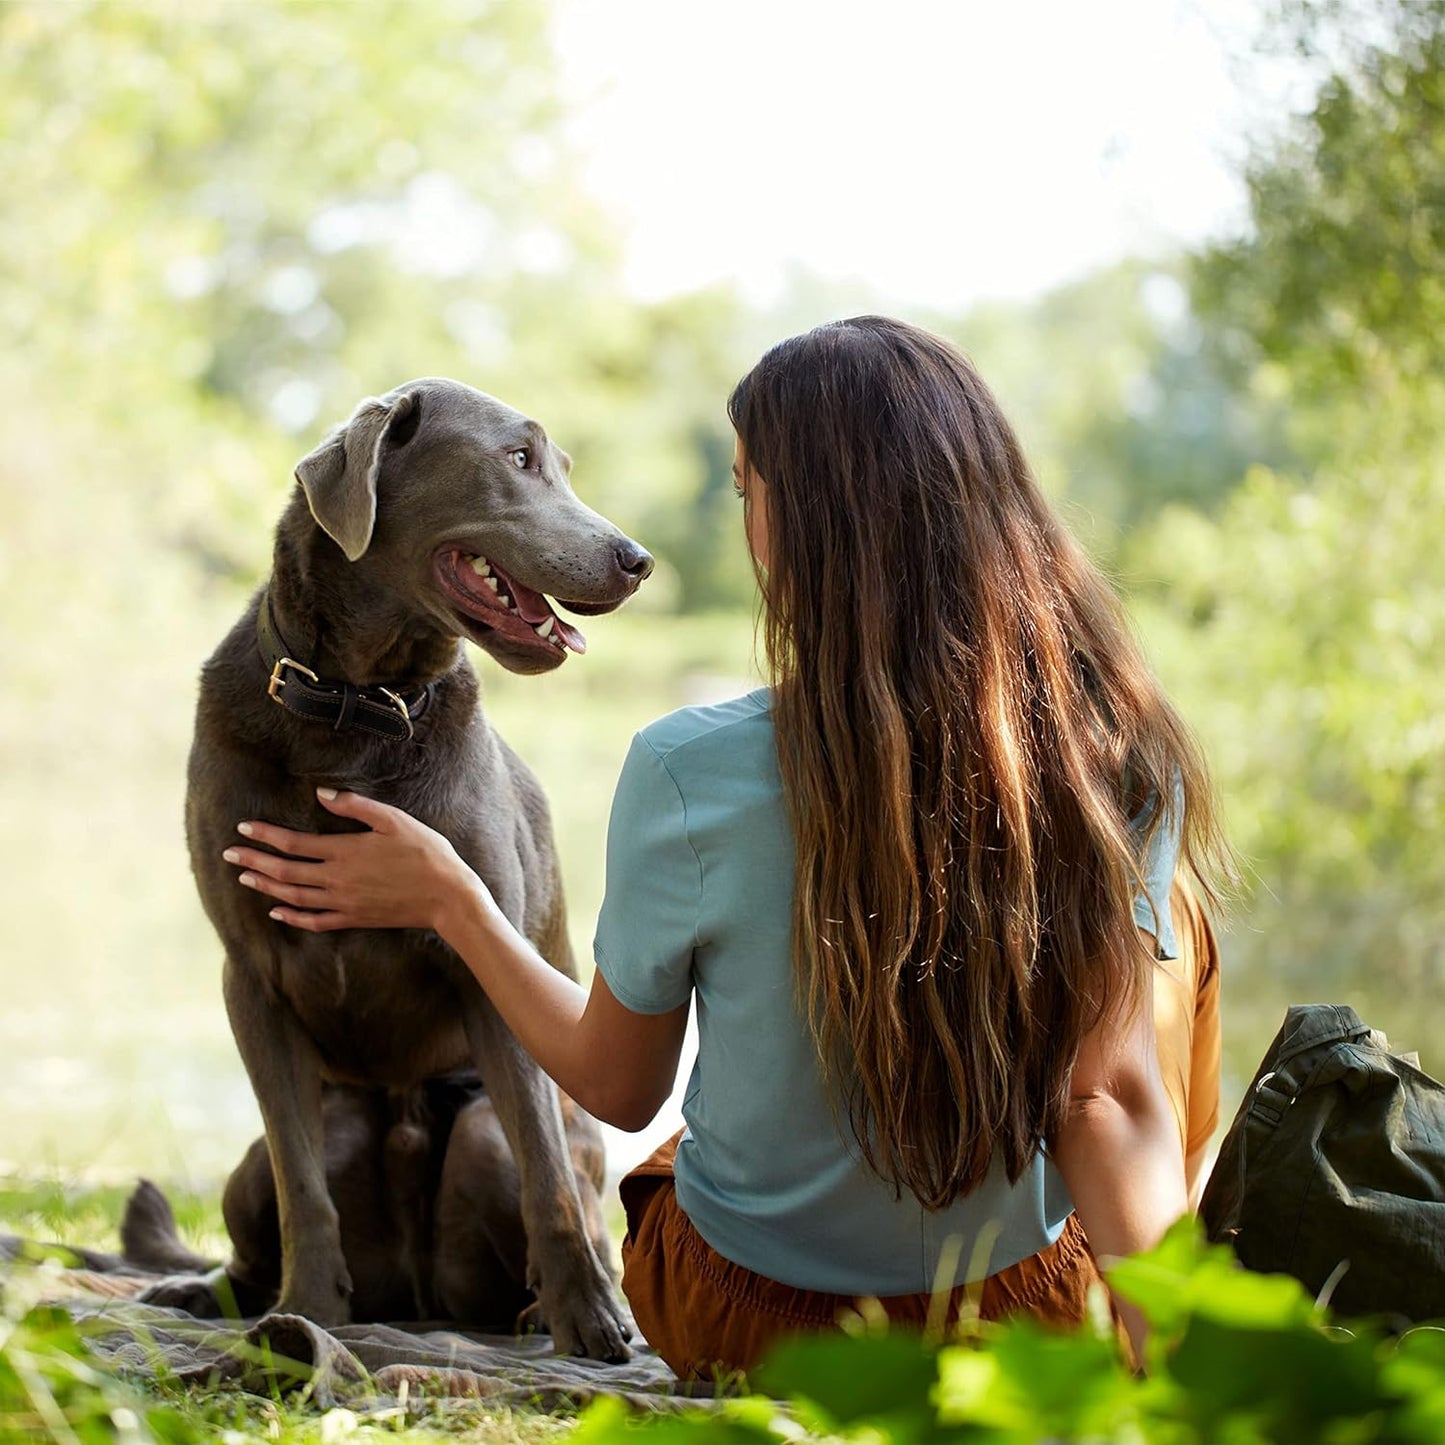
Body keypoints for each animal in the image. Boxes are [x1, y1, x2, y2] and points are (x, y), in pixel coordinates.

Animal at [179, 378, 650, 1358]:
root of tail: (422, 1301)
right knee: (272, 1192)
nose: (637, 560)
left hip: (477, 1129)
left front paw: (590, 1322)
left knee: (546, 1175)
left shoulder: (488, 961)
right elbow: (303, 1186)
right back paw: (212, 1293)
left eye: (561, 465)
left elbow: (548, 1175)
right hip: (279, 1145)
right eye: (518, 458)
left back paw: (549, 1312)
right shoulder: (249, 975)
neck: (357, 706)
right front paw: (305, 1317)